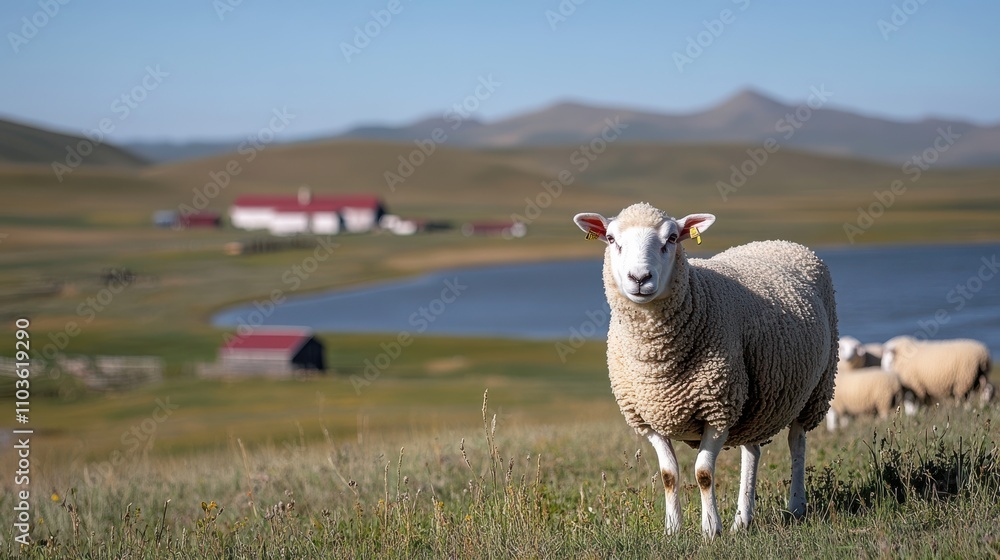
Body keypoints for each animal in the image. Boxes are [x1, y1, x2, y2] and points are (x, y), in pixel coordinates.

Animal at [573, 202, 837, 537]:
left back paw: (796, 507)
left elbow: (703, 473)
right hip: (756, 397)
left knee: (797, 443)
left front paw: (711, 529)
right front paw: (673, 530)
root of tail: (780, 242)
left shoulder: (718, 409)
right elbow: (668, 474)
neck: (658, 362)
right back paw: (742, 519)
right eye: (610, 239)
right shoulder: (648, 417)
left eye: (672, 238)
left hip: (815, 389)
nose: (639, 277)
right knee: (752, 452)